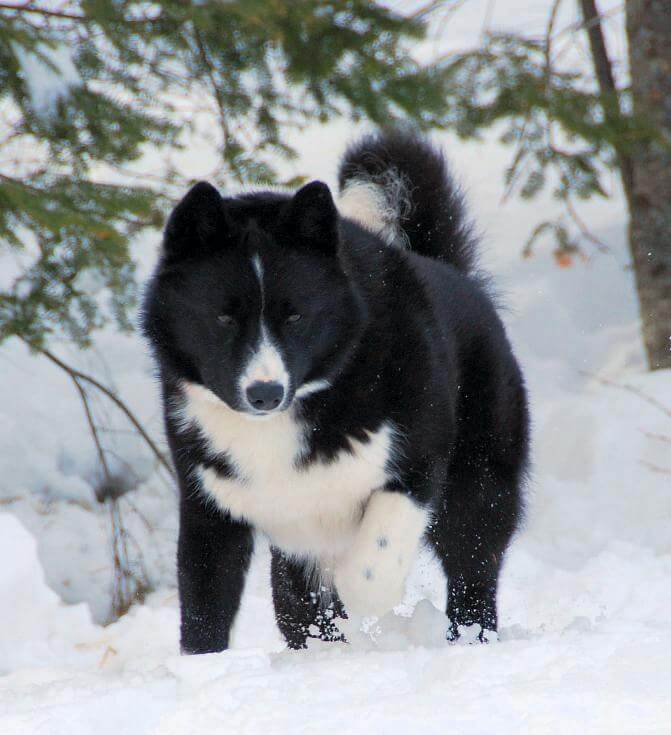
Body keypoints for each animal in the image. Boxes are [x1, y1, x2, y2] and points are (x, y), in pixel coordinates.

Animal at [142, 129, 529, 653]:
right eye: (222, 317)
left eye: (295, 316)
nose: (265, 393)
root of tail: (454, 275)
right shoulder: (209, 504)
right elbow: (206, 603)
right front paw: (202, 665)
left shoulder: (416, 462)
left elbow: (370, 569)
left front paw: (366, 596)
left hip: (477, 489)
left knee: (472, 574)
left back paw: (467, 640)